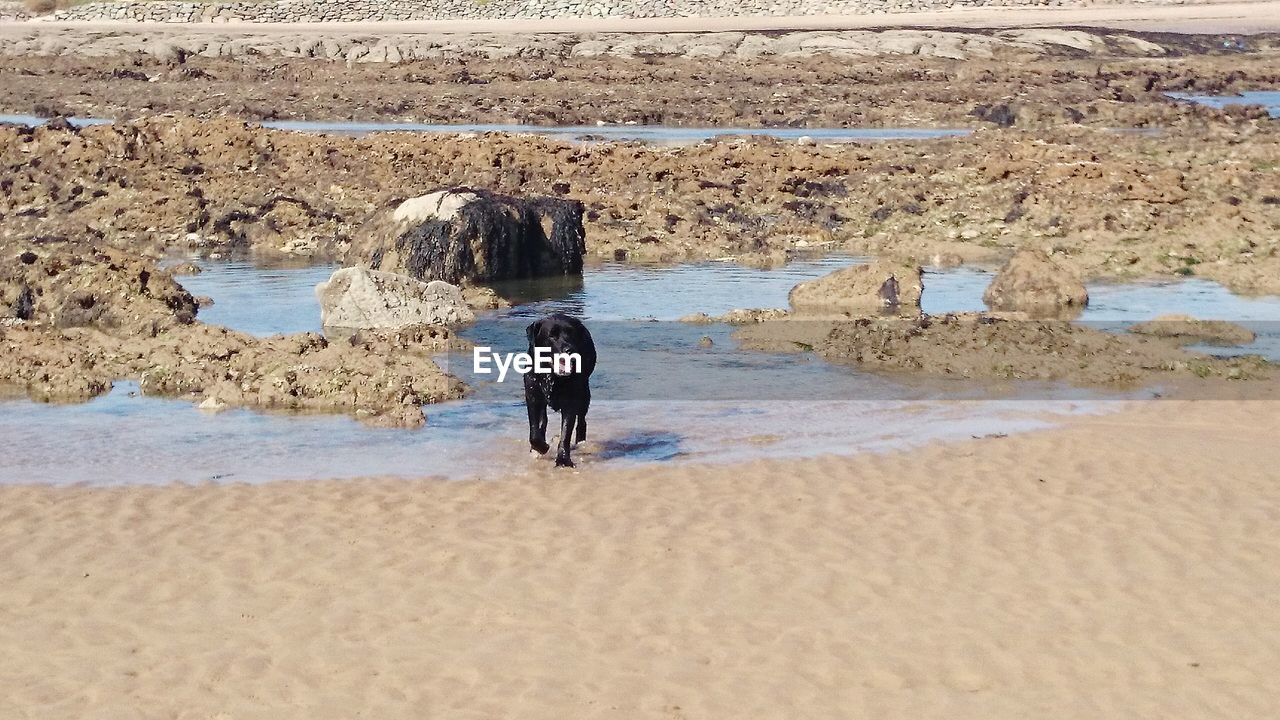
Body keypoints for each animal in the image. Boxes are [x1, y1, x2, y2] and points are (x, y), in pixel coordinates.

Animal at [522, 312, 596, 468]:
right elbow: (534, 432)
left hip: (584, 394)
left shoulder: (571, 401)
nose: (570, 349)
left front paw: (563, 460)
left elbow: (566, 433)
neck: (551, 375)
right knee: (543, 420)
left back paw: (580, 442)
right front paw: (540, 447)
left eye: (571, 333)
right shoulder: (532, 396)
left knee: (582, 421)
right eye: (552, 335)